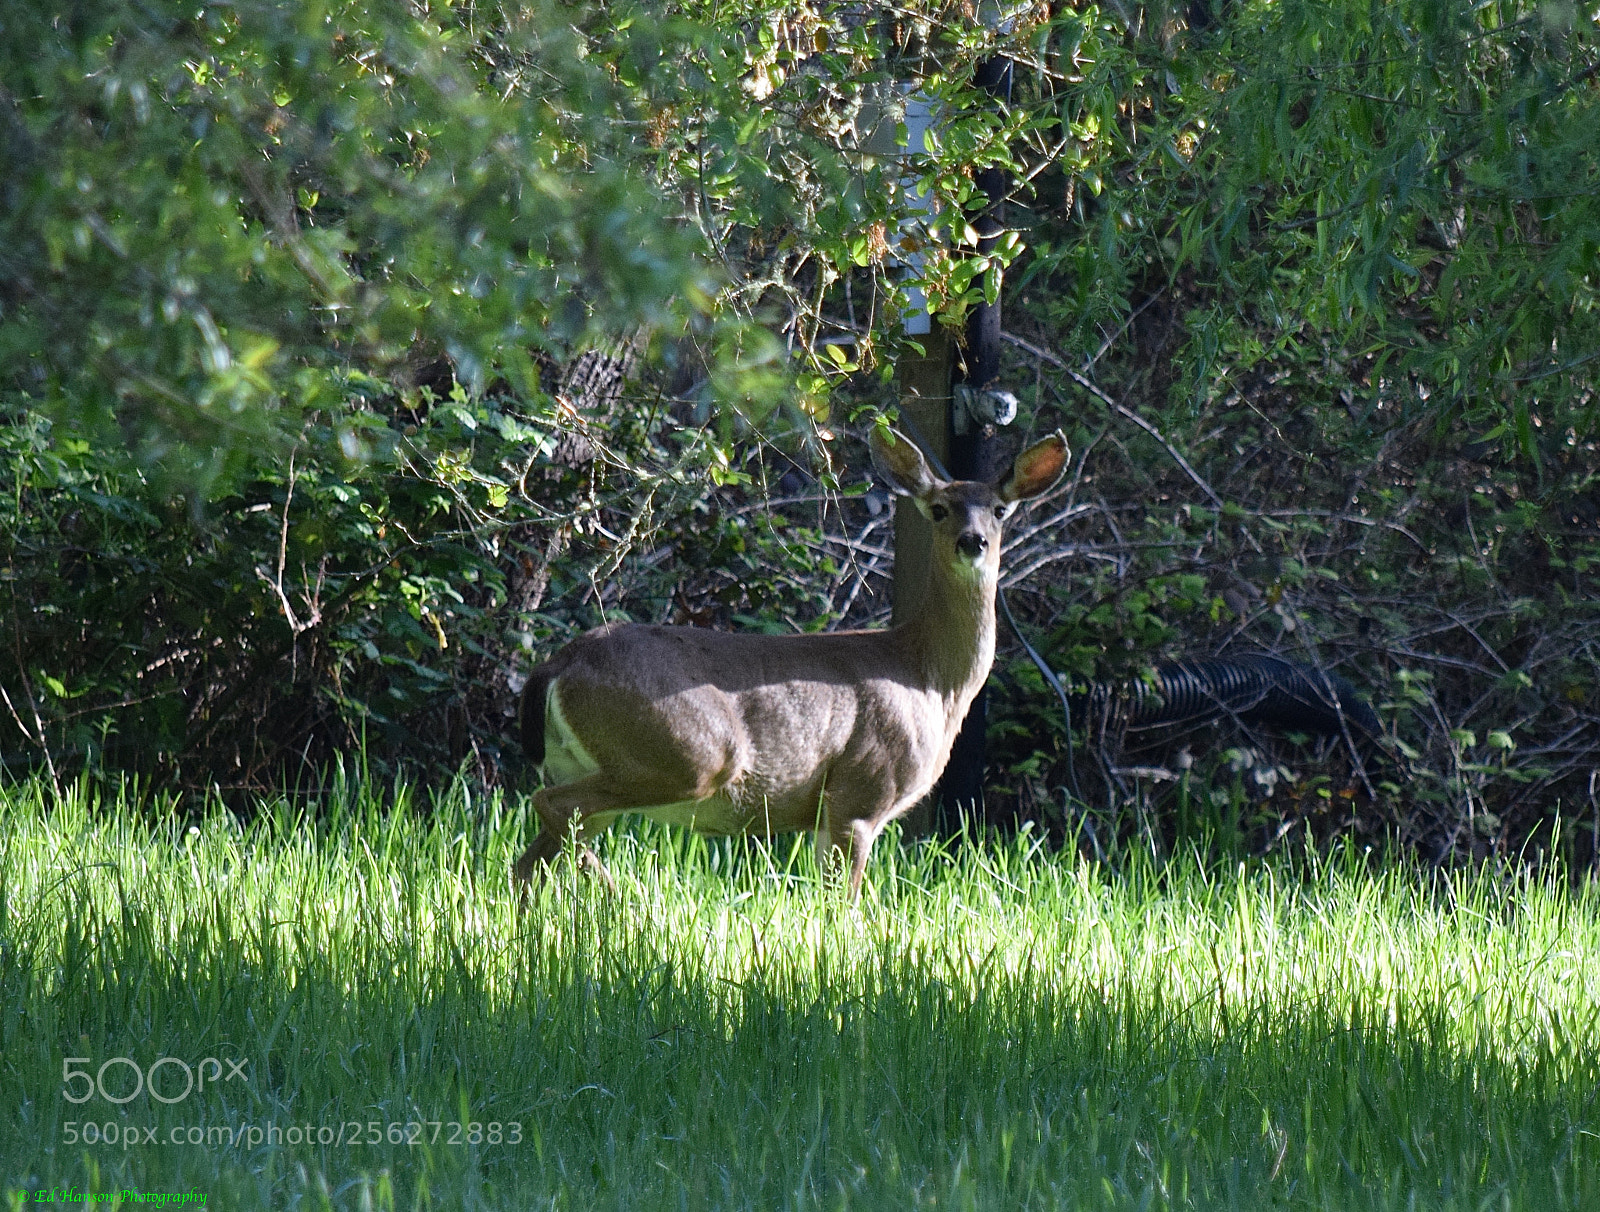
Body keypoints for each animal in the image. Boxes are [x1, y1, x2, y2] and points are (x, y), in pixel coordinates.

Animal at [513, 425, 1070, 900]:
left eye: (999, 509)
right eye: (938, 508)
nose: (972, 541)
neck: (928, 677)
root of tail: (558, 666)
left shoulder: (826, 813)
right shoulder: (861, 792)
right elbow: (843, 904)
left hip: (588, 763)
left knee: (532, 856)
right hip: (684, 752)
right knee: (550, 809)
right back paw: (626, 899)